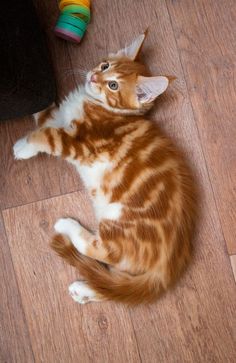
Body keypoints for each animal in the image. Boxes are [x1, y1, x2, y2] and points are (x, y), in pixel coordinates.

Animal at [13, 33, 196, 304]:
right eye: (105, 65)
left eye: (113, 86)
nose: (93, 77)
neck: (98, 104)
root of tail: (167, 268)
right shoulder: (61, 117)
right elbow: (46, 115)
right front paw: (35, 93)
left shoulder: (79, 143)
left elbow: (46, 135)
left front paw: (23, 146)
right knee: (115, 284)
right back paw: (84, 290)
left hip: (119, 220)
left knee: (103, 252)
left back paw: (67, 227)